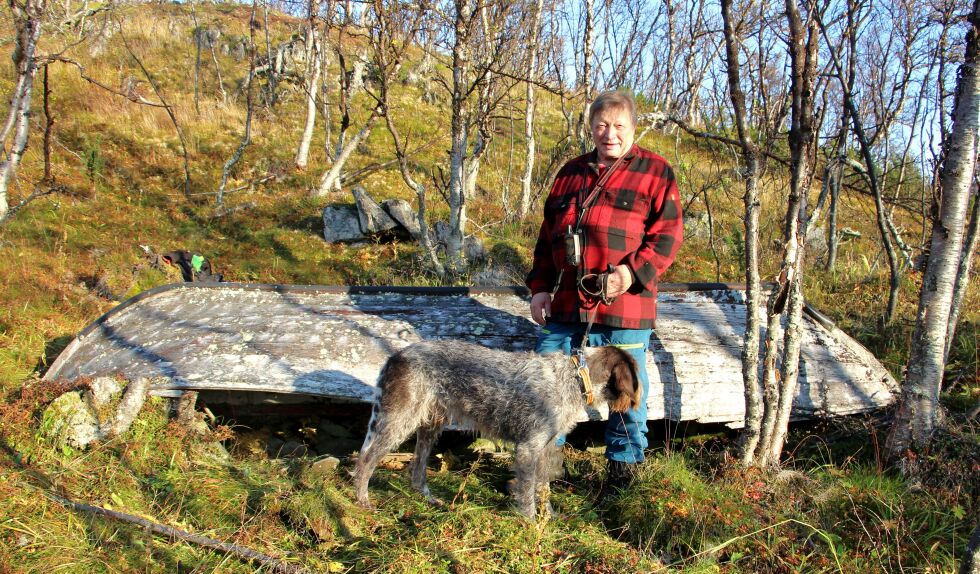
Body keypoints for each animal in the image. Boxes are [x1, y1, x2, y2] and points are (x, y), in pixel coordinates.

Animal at [352, 342, 644, 520]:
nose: (639, 398)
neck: (575, 378)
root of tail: (396, 356)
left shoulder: (545, 449)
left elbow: (544, 487)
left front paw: (549, 517)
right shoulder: (528, 449)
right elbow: (527, 492)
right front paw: (530, 524)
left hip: (429, 426)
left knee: (416, 469)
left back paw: (429, 499)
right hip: (399, 421)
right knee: (365, 461)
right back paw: (363, 502)